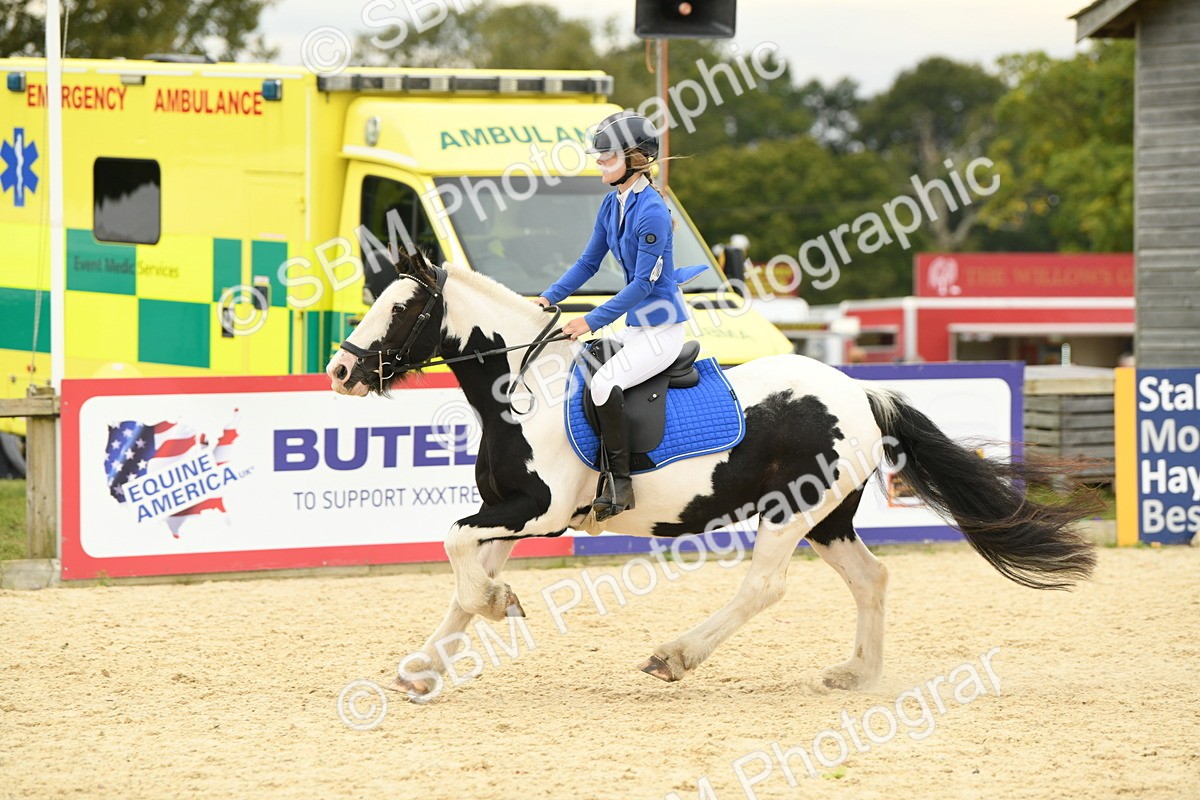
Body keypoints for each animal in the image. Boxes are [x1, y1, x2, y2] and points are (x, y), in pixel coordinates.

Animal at [326, 248, 1097, 698]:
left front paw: (497, 607)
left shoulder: (537, 512)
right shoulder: (511, 512)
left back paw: (676, 656)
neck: (522, 387)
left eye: (402, 307)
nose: (339, 371)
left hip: (790, 512)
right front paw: (425, 665)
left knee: (764, 587)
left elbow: (457, 550)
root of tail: (858, 391)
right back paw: (858, 674)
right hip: (829, 519)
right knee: (871, 579)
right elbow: (463, 579)